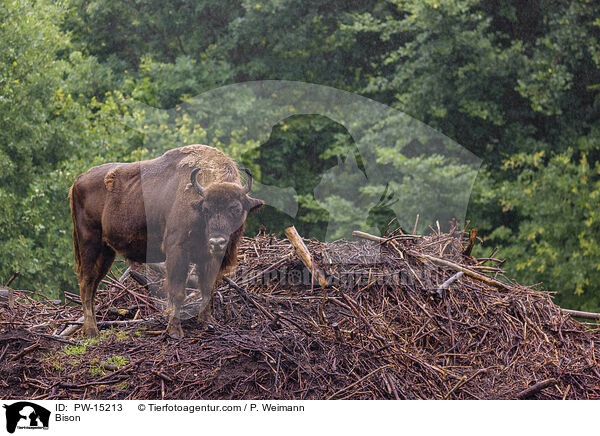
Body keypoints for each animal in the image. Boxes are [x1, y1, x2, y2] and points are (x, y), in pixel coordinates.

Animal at [69, 145, 264, 338]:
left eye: (235, 208)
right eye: (206, 209)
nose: (217, 242)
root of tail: (77, 181)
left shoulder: (209, 259)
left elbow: (207, 289)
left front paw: (207, 323)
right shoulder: (177, 251)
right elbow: (178, 292)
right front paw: (175, 330)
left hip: (106, 252)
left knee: (93, 286)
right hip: (90, 244)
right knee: (86, 284)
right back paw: (92, 332)